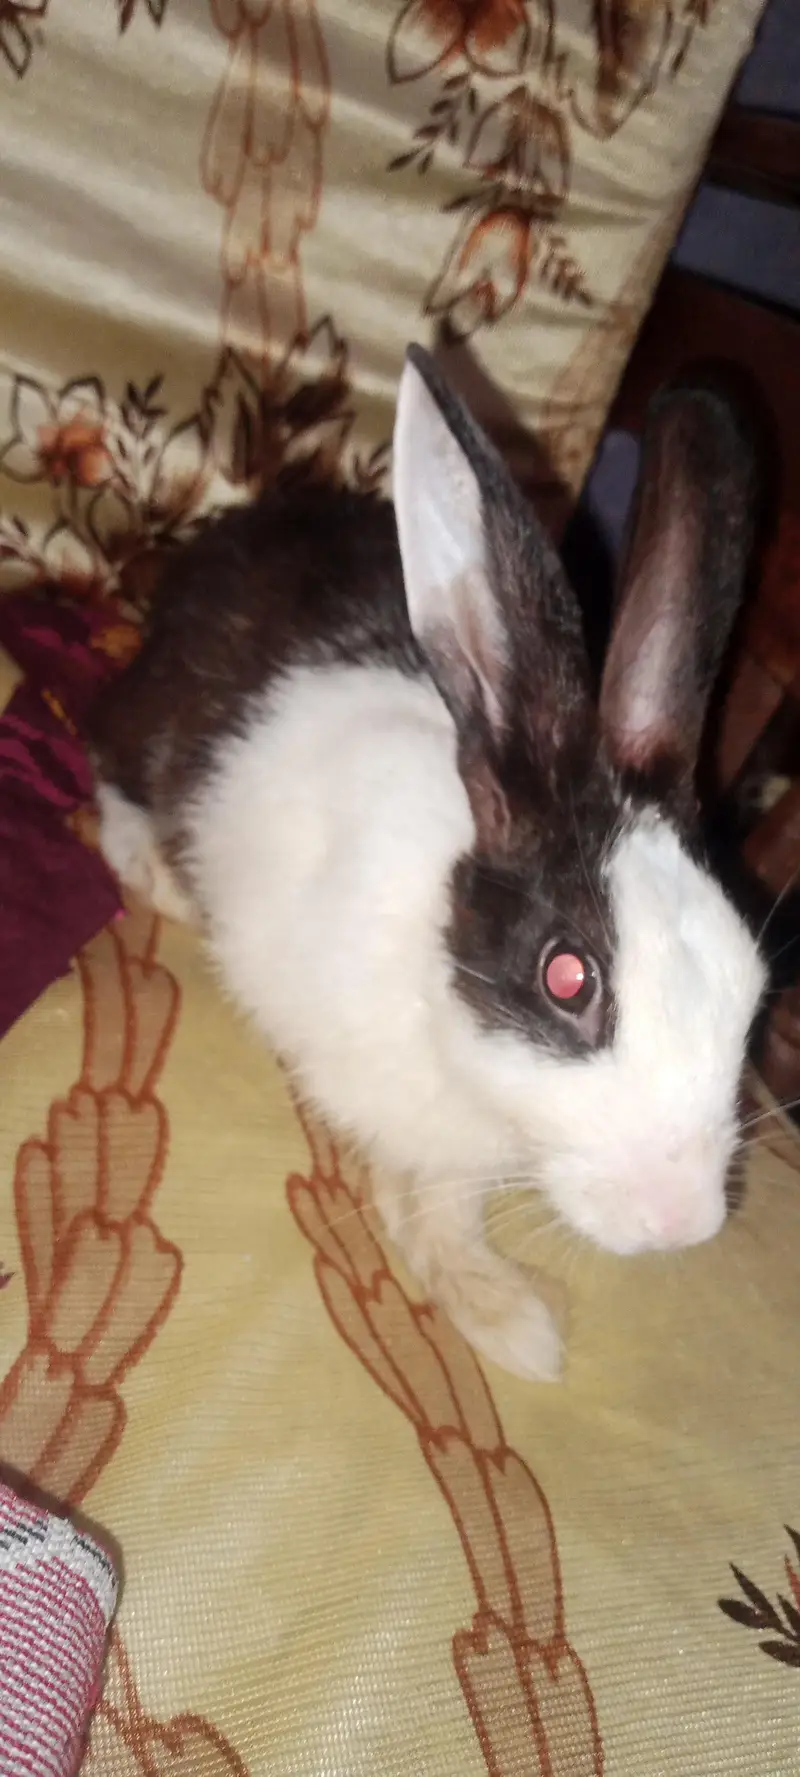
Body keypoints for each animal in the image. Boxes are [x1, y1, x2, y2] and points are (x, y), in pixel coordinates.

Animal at [88, 344, 767, 1382]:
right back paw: (160, 873)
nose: (681, 1221)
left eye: (753, 981)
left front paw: (498, 1315)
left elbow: (440, 1213)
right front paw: (511, 1321)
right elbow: (404, 1189)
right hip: (148, 725)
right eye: (567, 977)